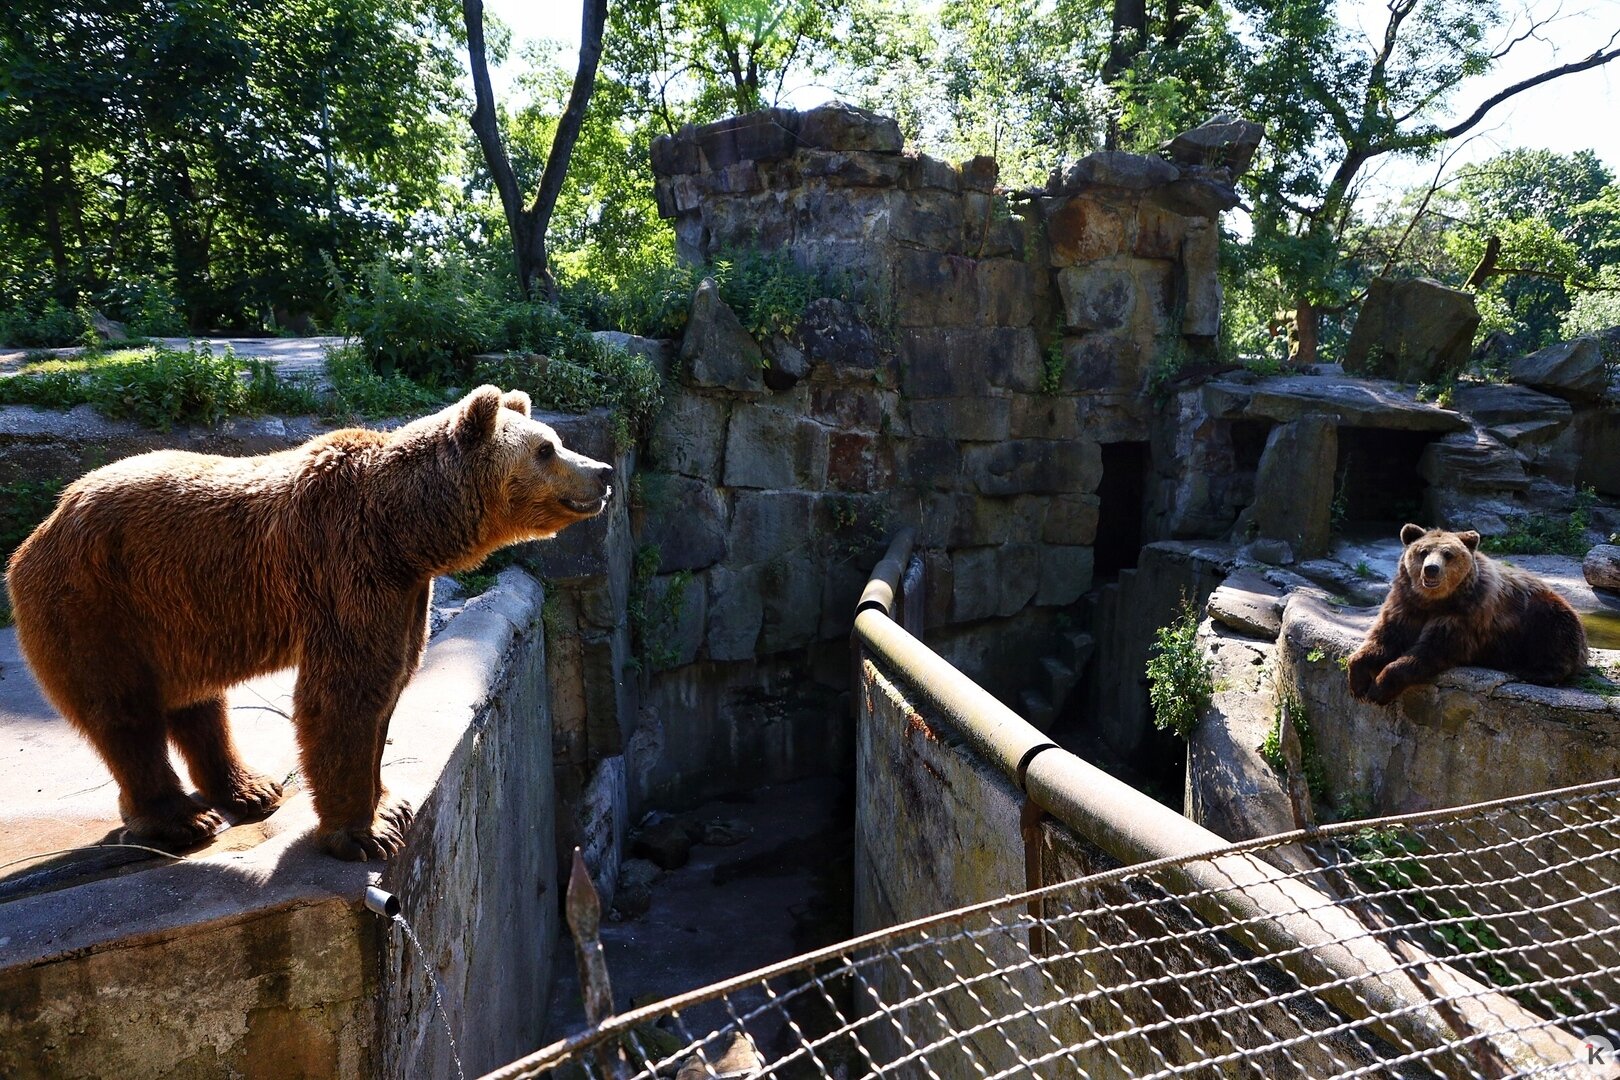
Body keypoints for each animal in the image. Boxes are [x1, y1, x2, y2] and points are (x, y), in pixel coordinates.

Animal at [4, 386, 612, 861]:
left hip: (178, 617)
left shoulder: (405, 593)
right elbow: (345, 693)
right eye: (546, 448)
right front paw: (361, 835)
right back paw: (181, 819)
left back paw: (249, 789)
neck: (406, 531)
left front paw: (389, 805)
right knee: (125, 714)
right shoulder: (348, 568)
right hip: (98, 605)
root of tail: (40, 529)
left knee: (198, 702)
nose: (603, 472)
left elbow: (388, 685)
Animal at [1347, 524, 1587, 709]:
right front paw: (1358, 683)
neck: (1434, 601)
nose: (1431, 569)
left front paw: (1378, 688)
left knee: (1554, 638)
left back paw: (1531, 671)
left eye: (1448, 554)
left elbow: (1431, 650)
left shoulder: (1464, 615)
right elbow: (1384, 638)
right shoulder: (1405, 605)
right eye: (1423, 551)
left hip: (1544, 614)